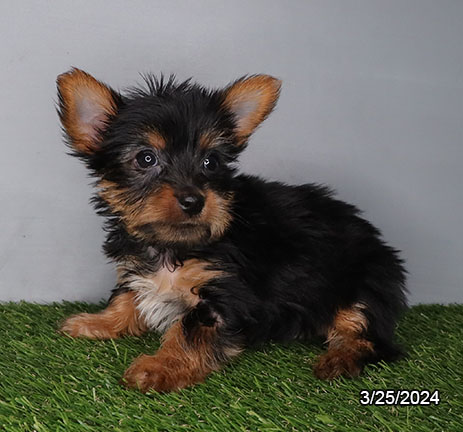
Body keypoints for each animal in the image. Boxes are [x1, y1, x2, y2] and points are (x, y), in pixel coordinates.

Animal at [57, 67, 406, 392]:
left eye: (210, 162)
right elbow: (126, 296)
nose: (194, 200)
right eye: (146, 158)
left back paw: (339, 359)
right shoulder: (135, 267)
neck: (172, 245)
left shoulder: (223, 294)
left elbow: (187, 331)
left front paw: (159, 367)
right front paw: (97, 321)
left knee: (365, 331)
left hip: (363, 282)